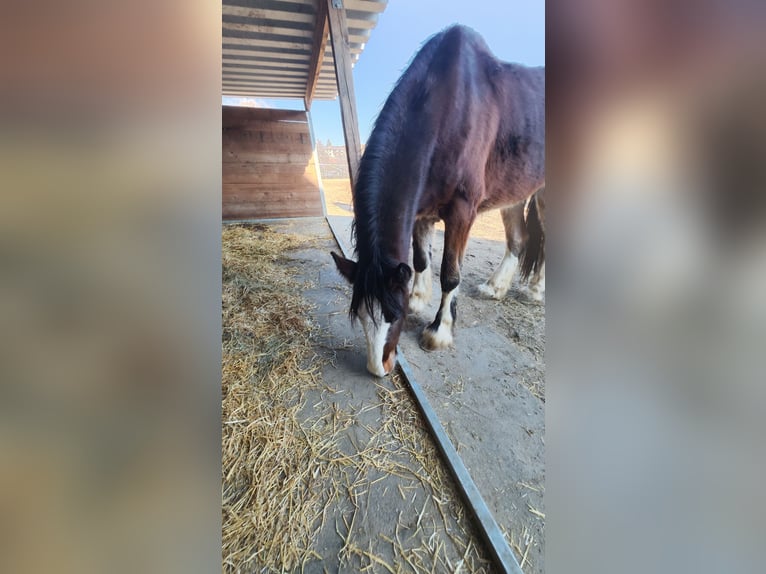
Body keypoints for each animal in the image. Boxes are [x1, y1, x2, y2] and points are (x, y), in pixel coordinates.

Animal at [332, 25, 545, 377]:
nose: (379, 368)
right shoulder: (422, 211)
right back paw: (495, 288)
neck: (450, 110)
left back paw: (537, 291)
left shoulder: (462, 211)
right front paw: (420, 299)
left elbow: (449, 273)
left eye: (394, 315)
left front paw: (439, 331)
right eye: (361, 315)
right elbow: (420, 261)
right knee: (519, 239)